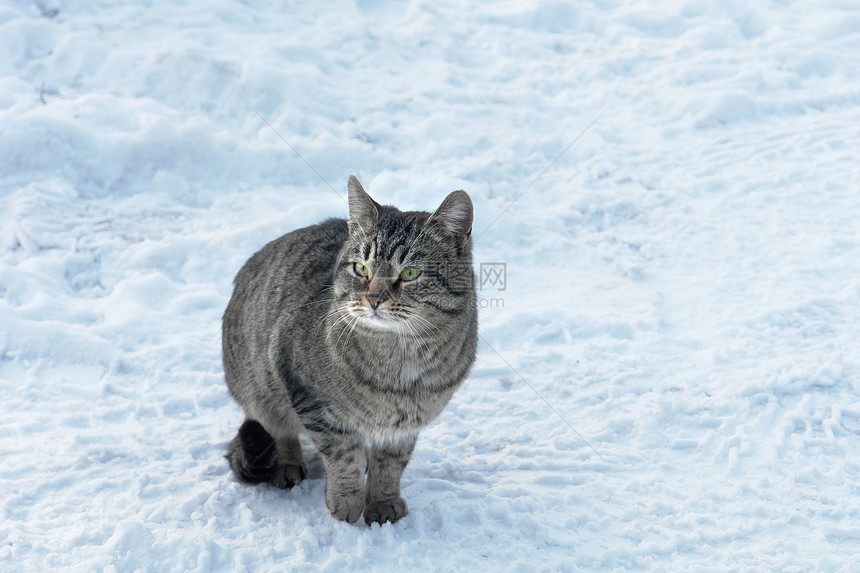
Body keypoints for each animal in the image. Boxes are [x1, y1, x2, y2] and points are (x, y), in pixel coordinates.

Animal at [222, 177, 478, 524]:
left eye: (410, 273)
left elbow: (392, 463)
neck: (399, 362)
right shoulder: (309, 398)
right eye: (360, 268)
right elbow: (343, 456)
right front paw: (346, 501)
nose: (374, 298)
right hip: (259, 385)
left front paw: (383, 501)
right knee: (278, 428)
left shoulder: (407, 424)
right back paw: (288, 464)